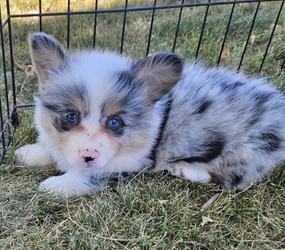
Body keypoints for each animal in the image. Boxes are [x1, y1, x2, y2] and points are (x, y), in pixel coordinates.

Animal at [16, 32, 284, 196]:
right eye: (71, 116)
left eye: (115, 122)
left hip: (248, 151)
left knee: (232, 180)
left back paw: (185, 169)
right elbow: (50, 148)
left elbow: (87, 176)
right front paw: (28, 153)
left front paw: (53, 186)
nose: (88, 156)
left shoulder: (128, 165)